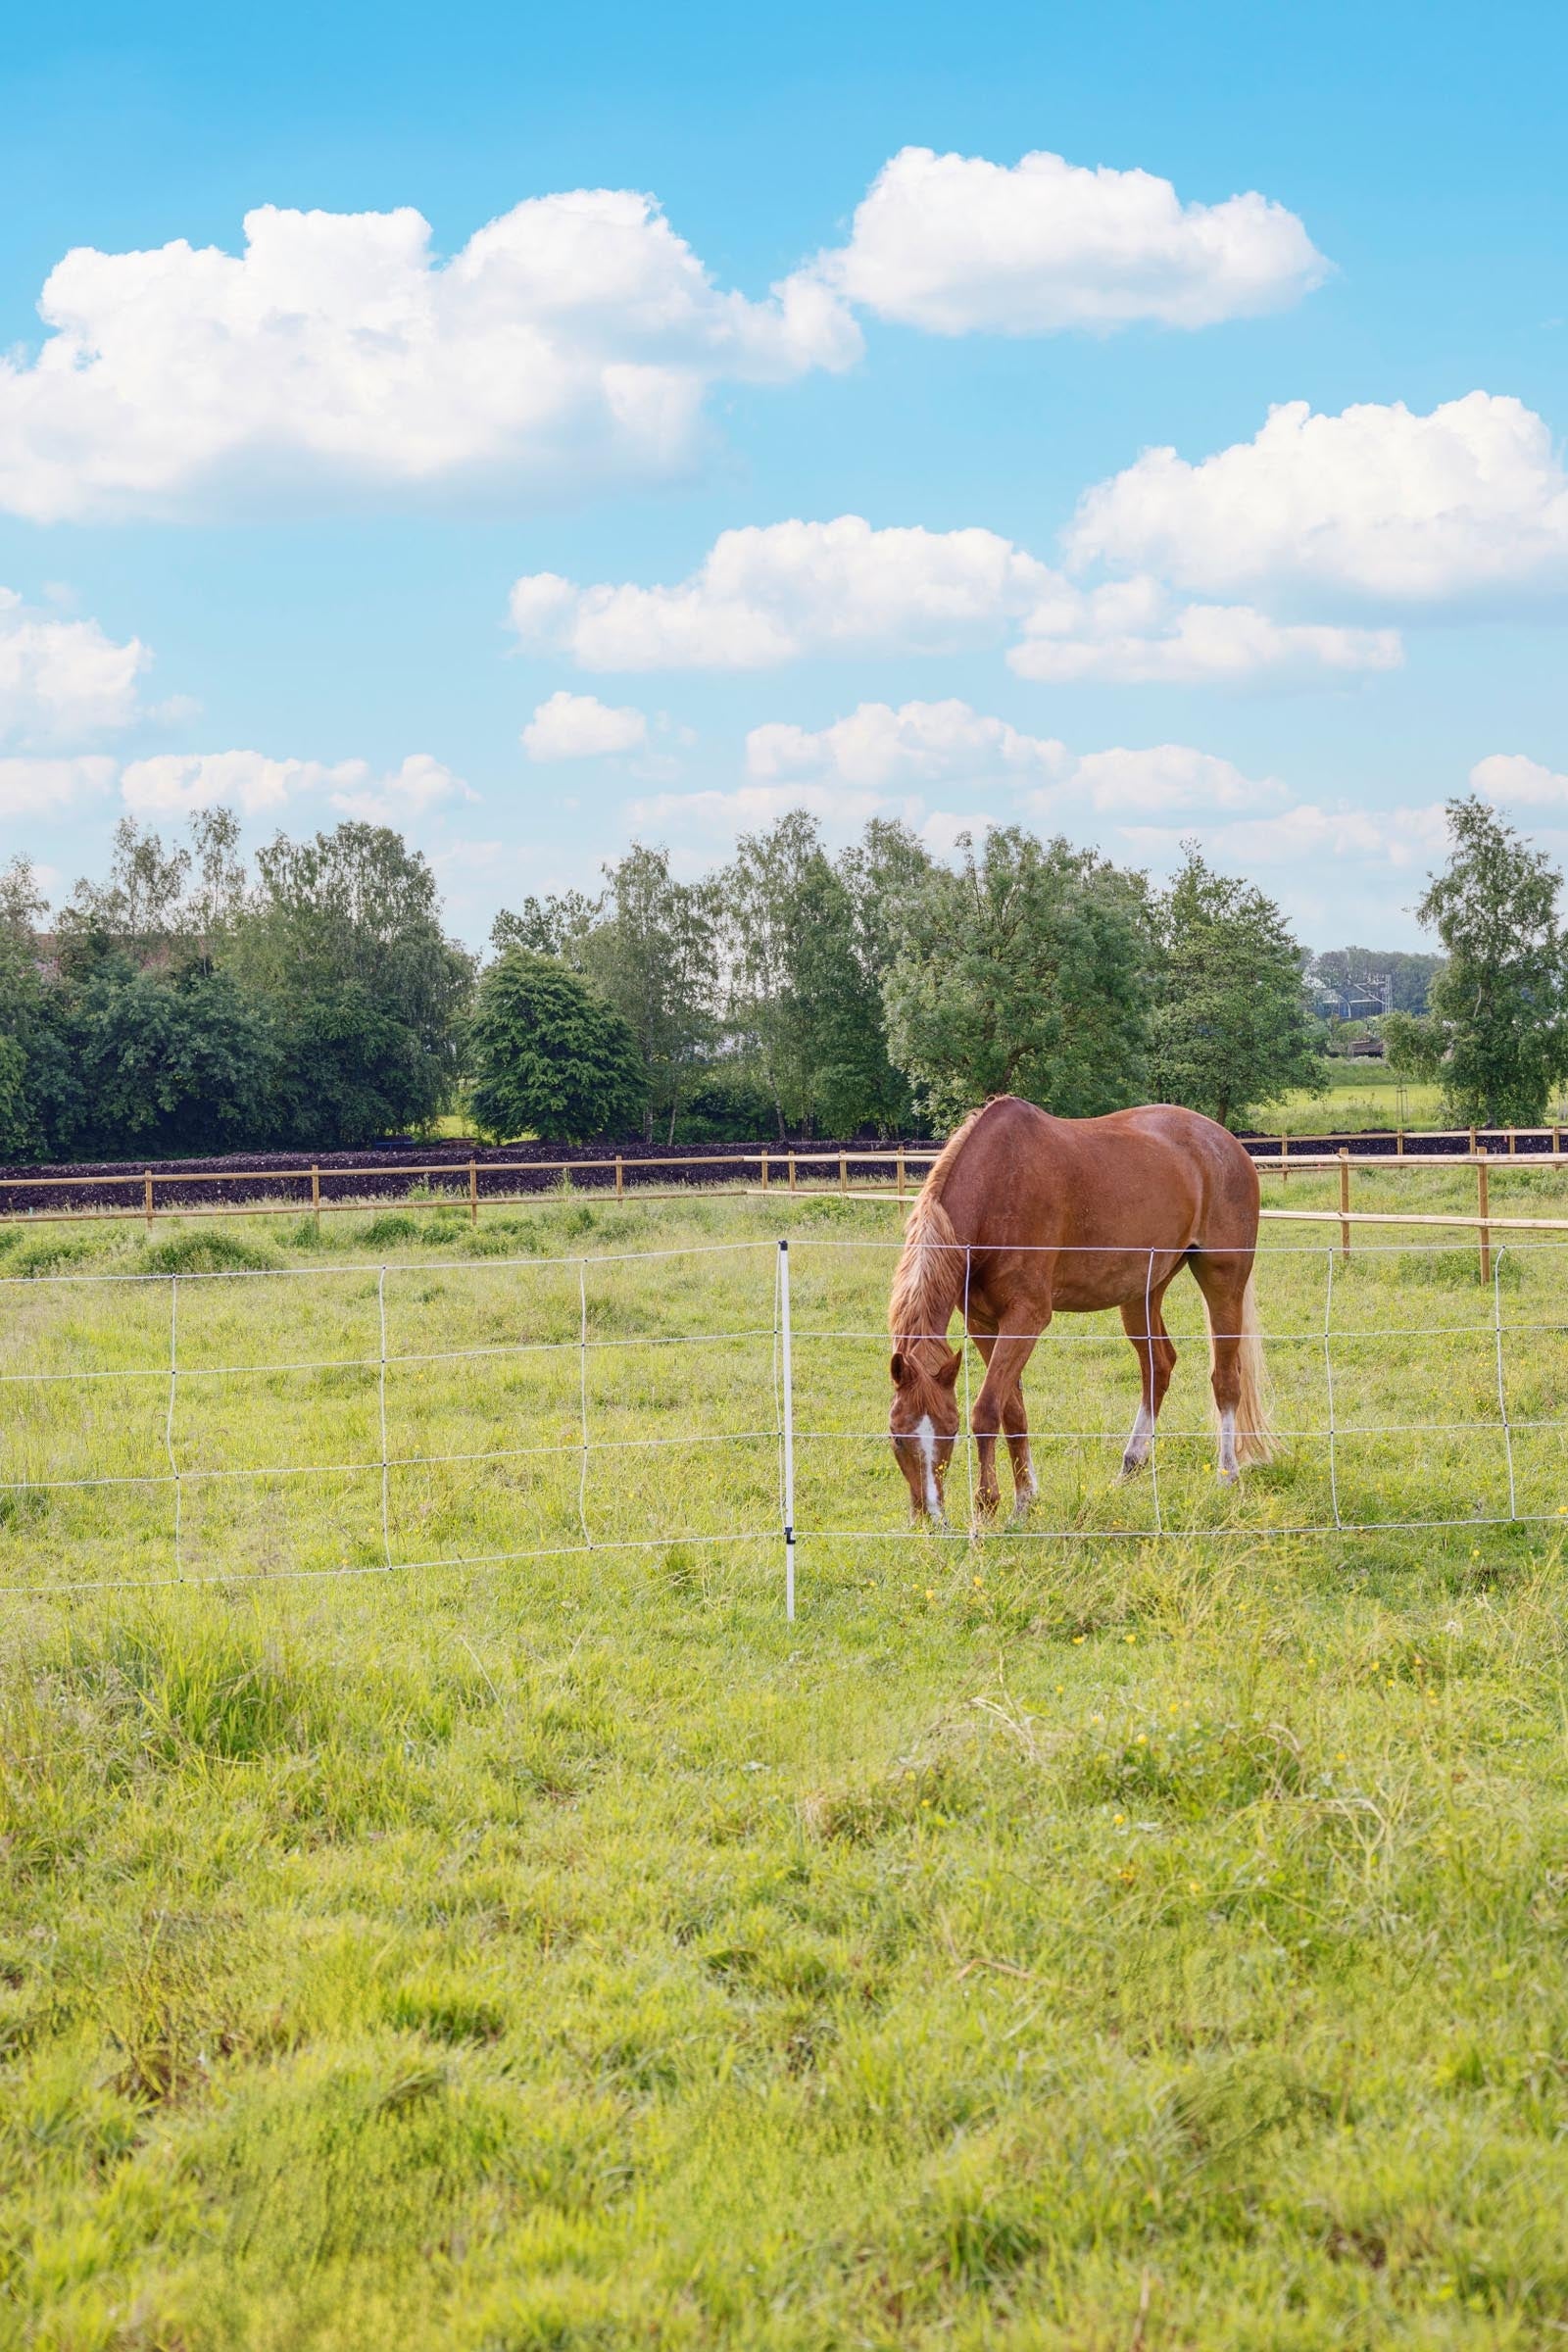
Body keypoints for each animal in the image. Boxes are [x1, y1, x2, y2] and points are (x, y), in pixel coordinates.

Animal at [887, 1094, 1272, 1524]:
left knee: (1225, 1378)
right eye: (897, 1437)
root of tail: (1228, 1143)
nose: (929, 1518)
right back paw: (1130, 1467)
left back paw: (1226, 1475)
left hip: (1223, 1278)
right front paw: (1025, 1500)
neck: (998, 1185)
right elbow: (1012, 1410)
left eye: (950, 1430)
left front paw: (987, 1507)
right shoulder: (983, 1322)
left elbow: (987, 1410)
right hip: (1143, 1292)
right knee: (1158, 1366)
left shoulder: (1026, 1317)